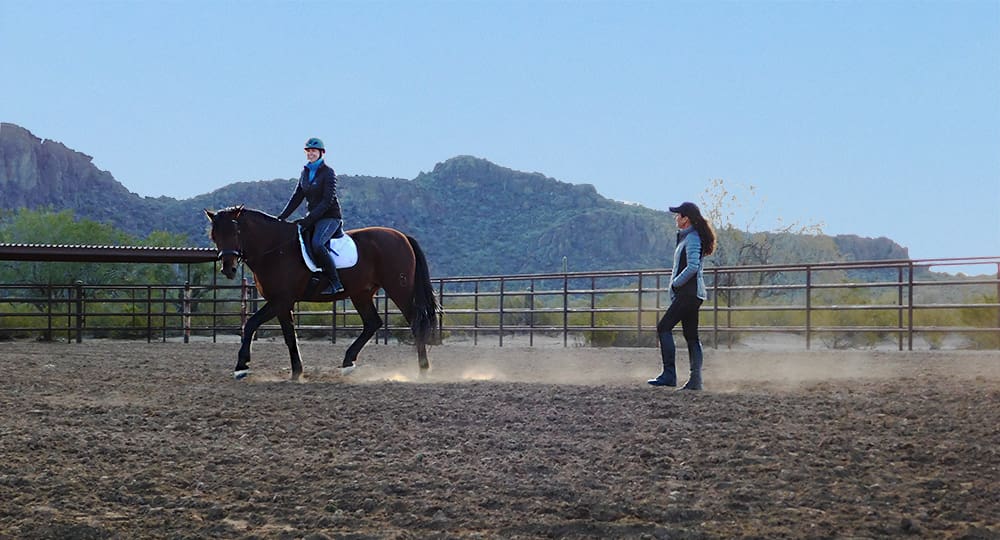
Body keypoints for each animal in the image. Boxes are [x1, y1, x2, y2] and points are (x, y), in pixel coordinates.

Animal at [204, 206, 438, 380]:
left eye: (235, 232)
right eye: (214, 235)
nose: (228, 269)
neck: (276, 248)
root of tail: (402, 237)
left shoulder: (281, 300)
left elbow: (253, 324)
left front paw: (241, 367)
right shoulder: (282, 303)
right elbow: (288, 335)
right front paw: (296, 372)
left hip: (398, 289)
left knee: (415, 322)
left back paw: (423, 370)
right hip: (361, 293)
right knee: (373, 323)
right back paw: (348, 363)